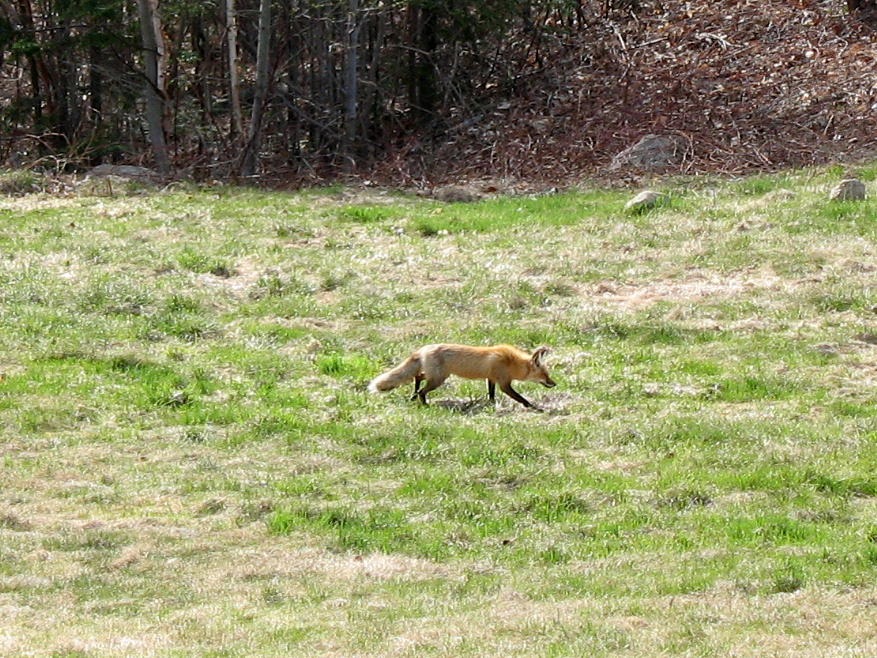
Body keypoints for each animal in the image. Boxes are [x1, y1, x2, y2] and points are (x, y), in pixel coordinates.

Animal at [370, 346, 556, 408]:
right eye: (545, 375)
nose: (554, 383)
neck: (511, 362)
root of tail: (424, 348)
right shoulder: (504, 383)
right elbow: (520, 398)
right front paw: (533, 407)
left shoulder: (491, 379)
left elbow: (491, 394)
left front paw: (491, 404)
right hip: (439, 379)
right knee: (422, 389)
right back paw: (424, 404)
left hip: (435, 376)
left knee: (418, 377)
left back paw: (413, 395)